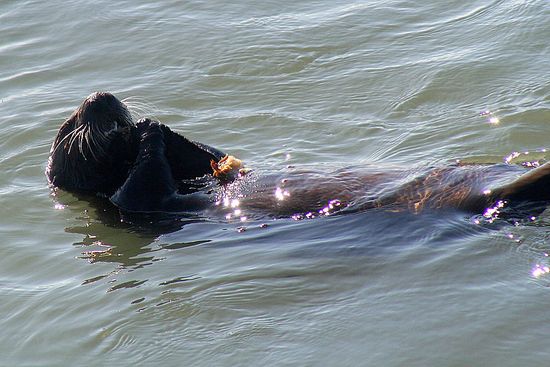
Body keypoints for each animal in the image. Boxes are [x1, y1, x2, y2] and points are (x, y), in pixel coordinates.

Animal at [47, 92, 550, 221]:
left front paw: (158, 125)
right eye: (70, 124)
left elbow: (220, 159)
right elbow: (142, 184)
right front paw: (149, 133)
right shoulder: (133, 207)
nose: (100, 97)